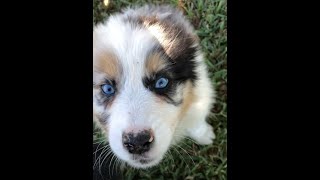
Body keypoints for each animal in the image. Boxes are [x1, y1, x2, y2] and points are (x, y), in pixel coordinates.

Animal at [94, 3, 216, 169]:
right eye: (107, 89)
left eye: (161, 82)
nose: (137, 142)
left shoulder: (201, 95)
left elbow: (197, 119)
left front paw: (205, 136)